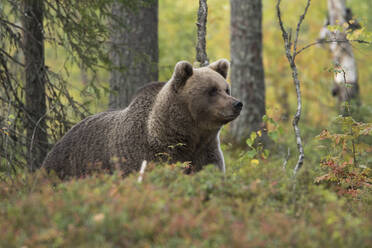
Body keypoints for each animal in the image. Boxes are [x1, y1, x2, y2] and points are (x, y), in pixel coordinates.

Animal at [42, 58, 241, 177]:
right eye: (212, 90)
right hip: (66, 167)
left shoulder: (206, 153)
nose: (237, 104)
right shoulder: (143, 156)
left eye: (226, 89)